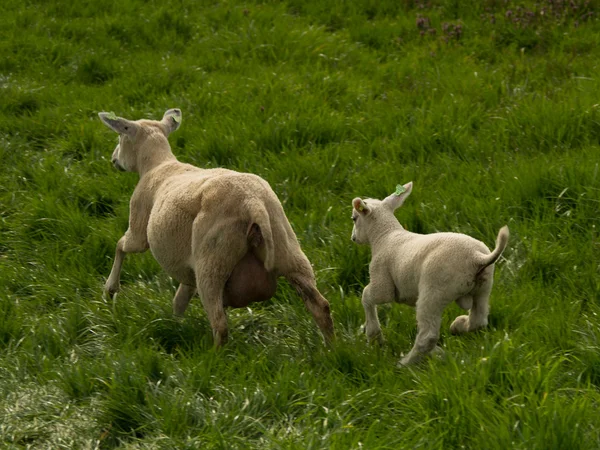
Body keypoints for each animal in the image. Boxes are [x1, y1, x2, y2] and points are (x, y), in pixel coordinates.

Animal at [97, 108, 332, 344]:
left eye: (120, 137)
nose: (113, 159)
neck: (158, 164)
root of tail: (253, 203)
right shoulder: (187, 266)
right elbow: (179, 301)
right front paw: (175, 326)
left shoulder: (139, 224)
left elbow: (121, 245)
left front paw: (110, 289)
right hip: (288, 248)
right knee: (321, 306)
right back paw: (331, 348)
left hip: (212, 261)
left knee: (220, 324)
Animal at [350, 181, 508, 368]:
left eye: (354, 218)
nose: (353, 238)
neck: (385, 235)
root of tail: (477, 257)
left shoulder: (383, 283)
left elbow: (366, 296)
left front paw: (374, 336)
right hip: (483, 287)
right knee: (479, 320)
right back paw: (457, 327)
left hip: (434, 291)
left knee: (428, 335)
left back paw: (406, 363)